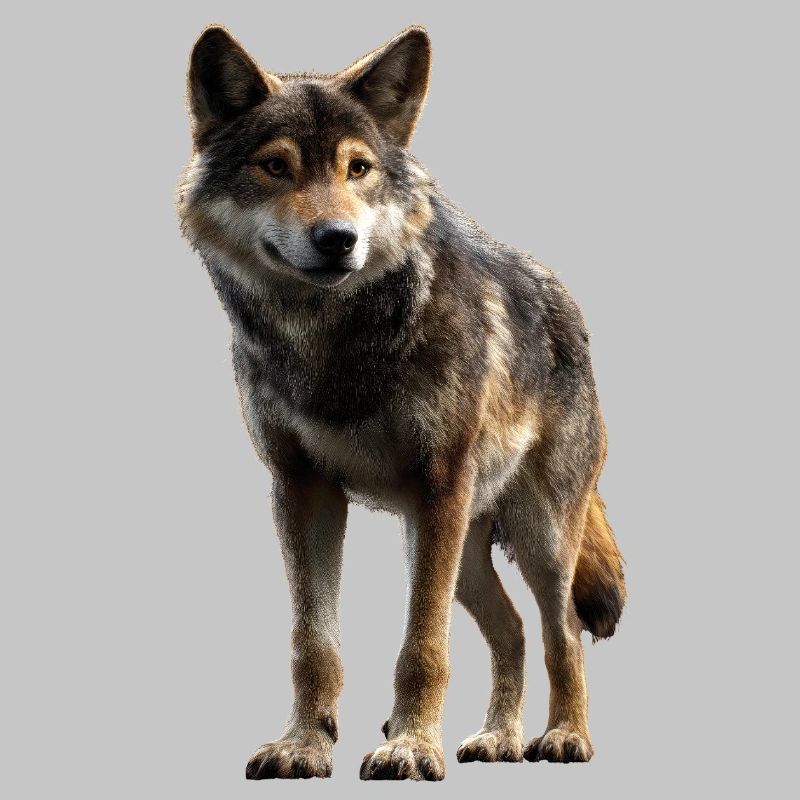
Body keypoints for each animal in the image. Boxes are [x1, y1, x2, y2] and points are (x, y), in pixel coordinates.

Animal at [178, 24, 626, 781]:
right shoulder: (302, 489)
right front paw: (303, 745)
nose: (338, 239)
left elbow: (423, 646)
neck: (333, 341)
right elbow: (313, 644)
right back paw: (498, 739)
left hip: (531, 536)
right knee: (511, 632)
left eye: (358, 168)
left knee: (560, 630)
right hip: (461, 550)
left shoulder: (438, 485)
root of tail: (567, 304)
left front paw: (411, 746)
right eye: (276, 167)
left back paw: (564, 737)